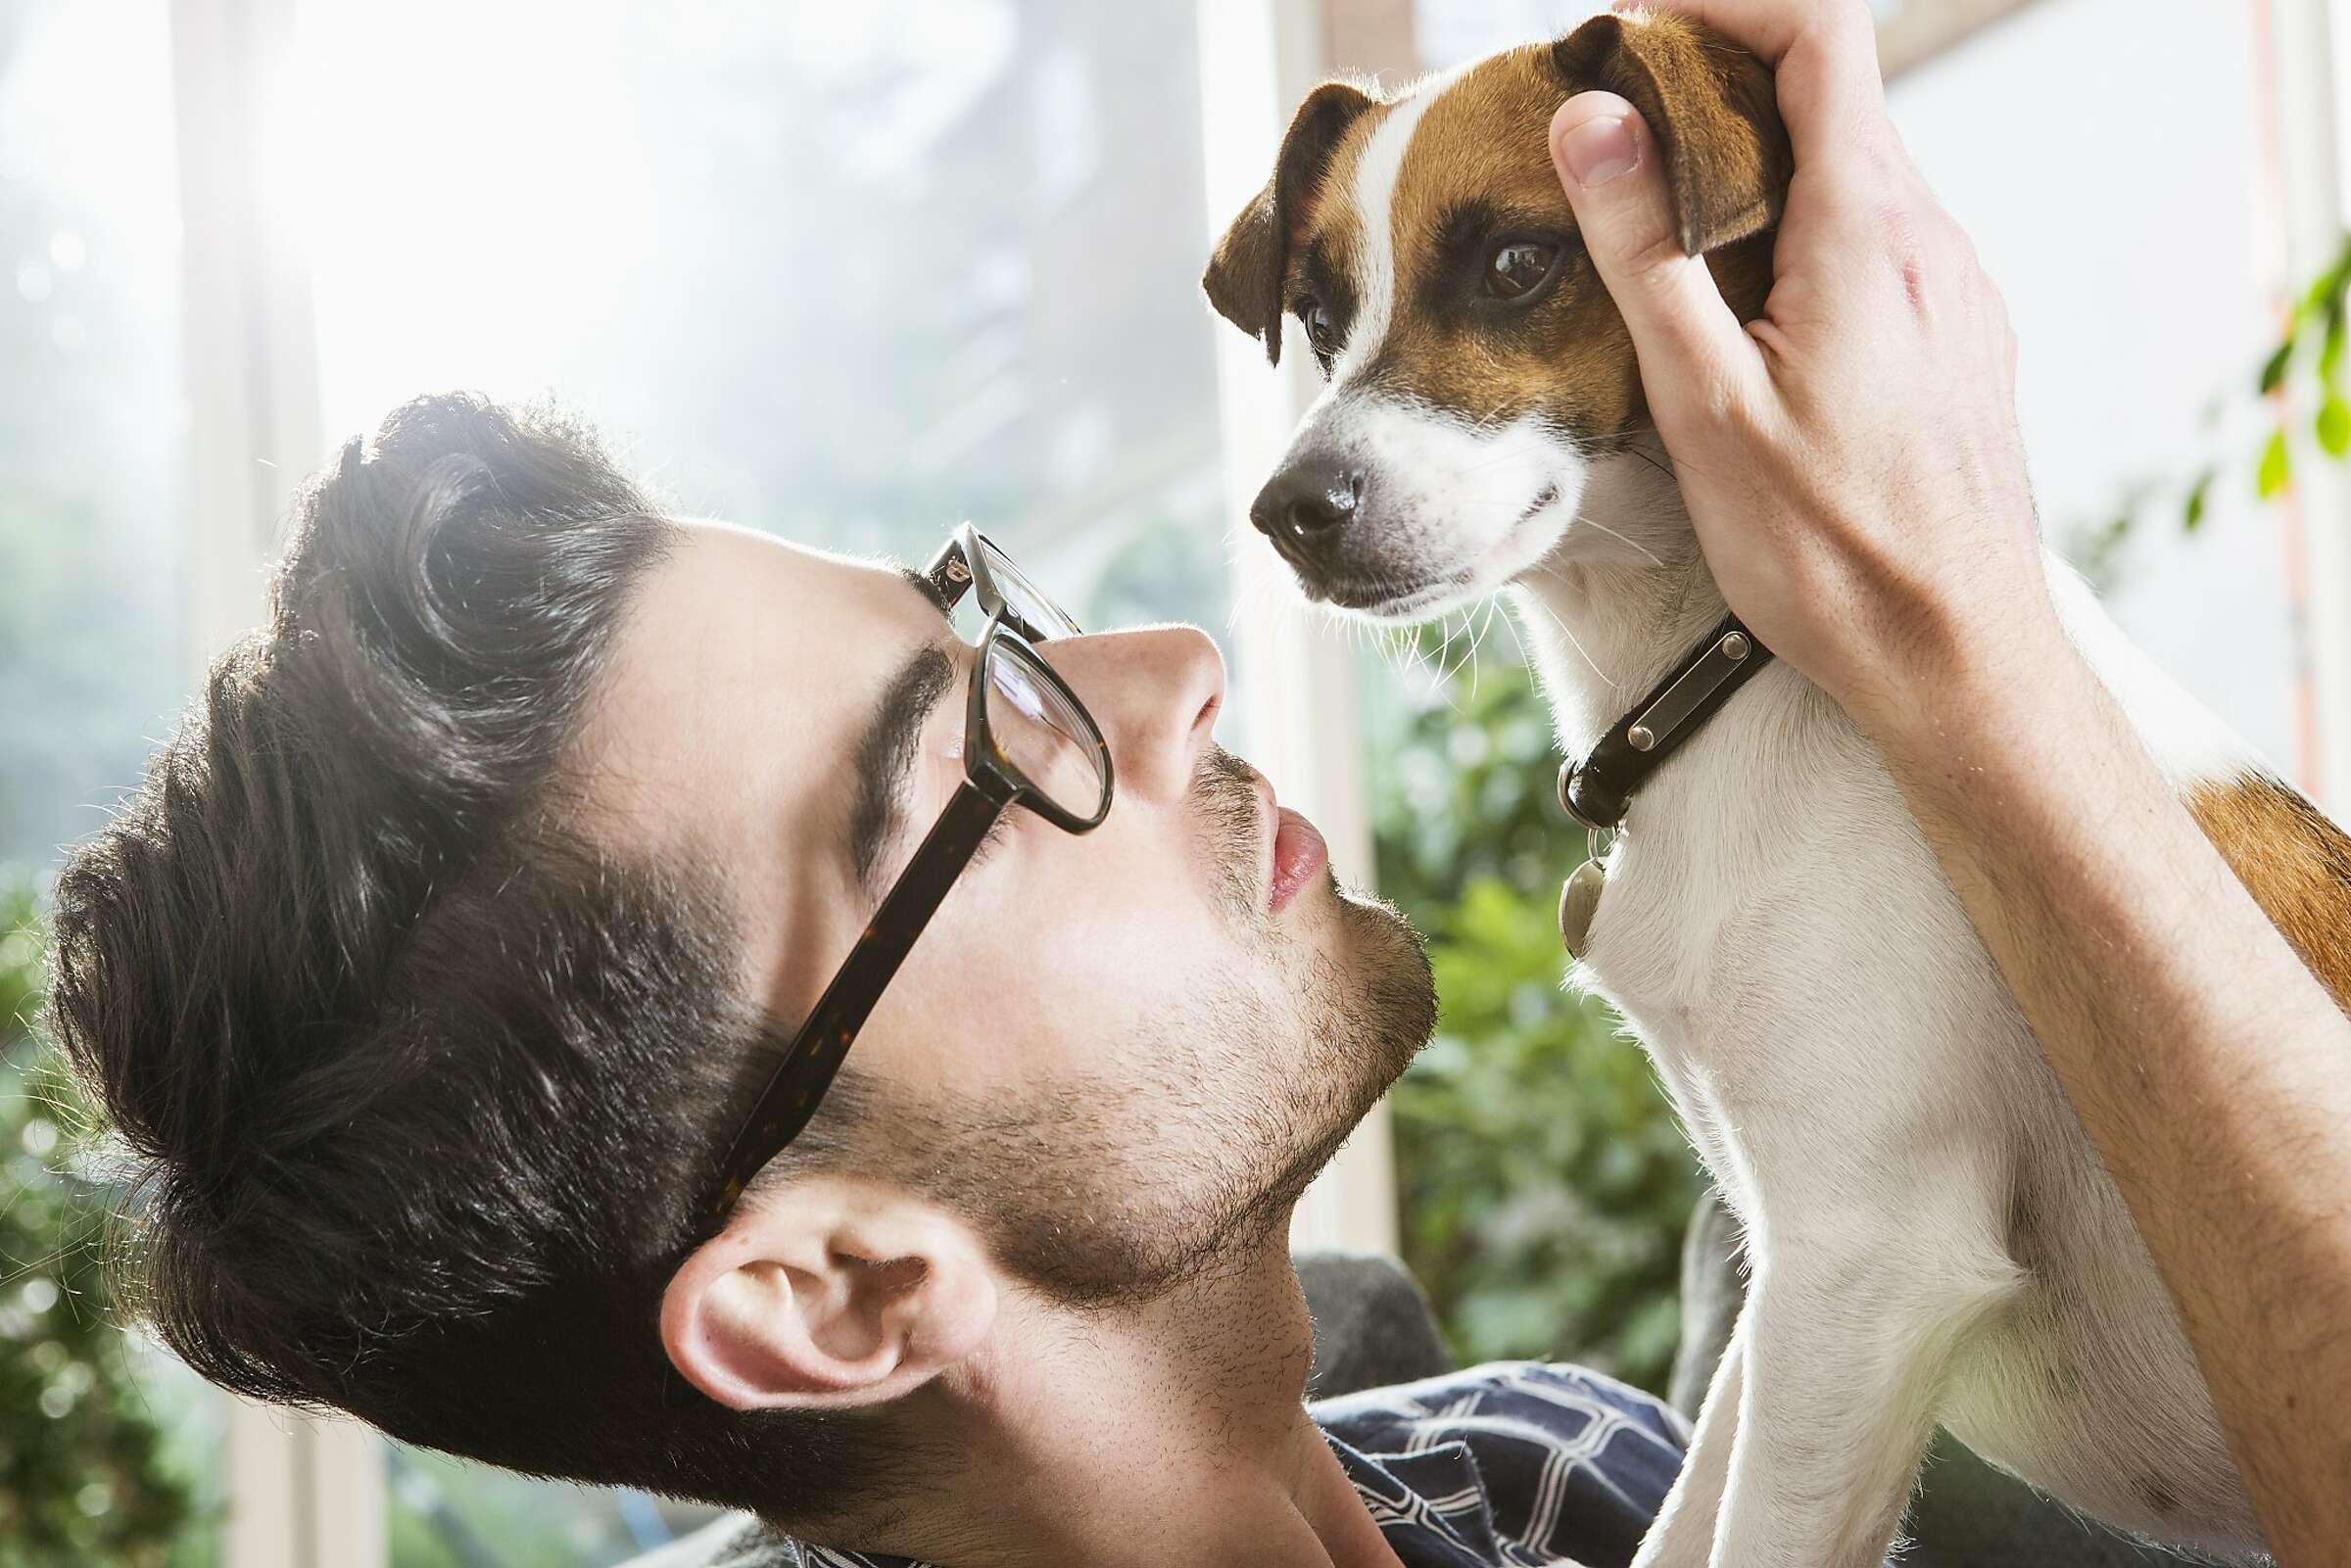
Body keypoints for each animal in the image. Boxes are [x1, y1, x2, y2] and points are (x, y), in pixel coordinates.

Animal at [1203, 12, 2341, 1568]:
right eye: (1319, 315)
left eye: (1518, 263)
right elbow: (1688, 1517)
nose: (1288, 514)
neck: (1731, 668)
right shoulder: (1793, 1278)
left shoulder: (1870, 1261)